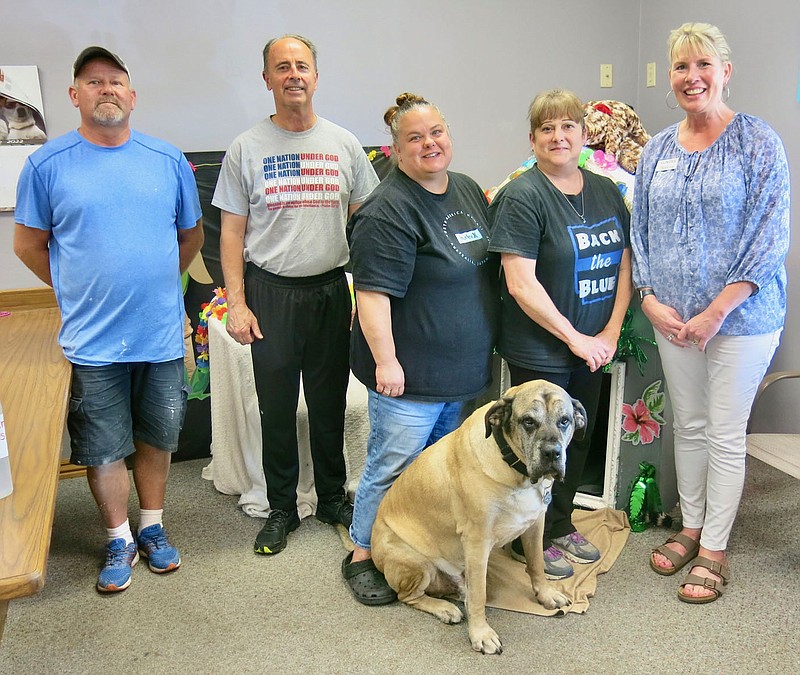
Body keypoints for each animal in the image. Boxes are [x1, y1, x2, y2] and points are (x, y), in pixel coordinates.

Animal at [370, 382, 588, 656]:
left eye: (564, 421)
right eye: (528, 421)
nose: (552, 453)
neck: (514, 467)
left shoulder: (535, 524)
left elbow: (536, 563)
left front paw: (546, 594)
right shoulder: (477, 541)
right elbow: (479, 596)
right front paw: (481, 635)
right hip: (416, 562)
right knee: (408, 596)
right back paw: (445, 609)